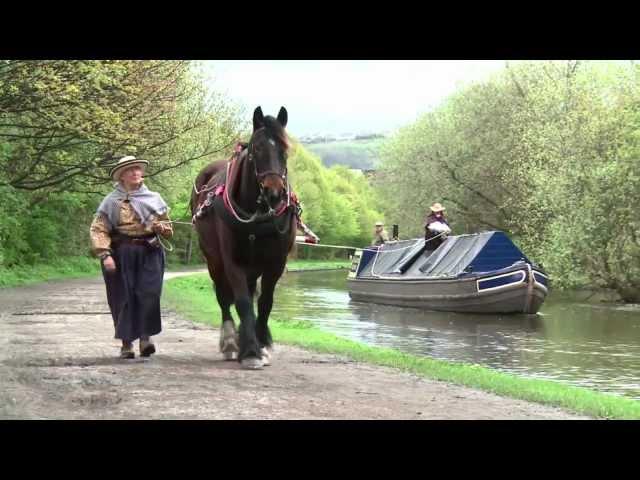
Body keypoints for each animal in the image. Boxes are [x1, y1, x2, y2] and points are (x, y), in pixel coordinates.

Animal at [190, 107, 298, 370]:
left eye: (285, 149)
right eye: (257, 148)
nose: (274, 193)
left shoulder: (275, 263)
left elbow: (265, 302)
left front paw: (261, 344)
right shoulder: (232, 261)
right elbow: (241, 302)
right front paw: (250, 351)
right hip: (214, 260)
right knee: (223, 297)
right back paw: (231, 340)